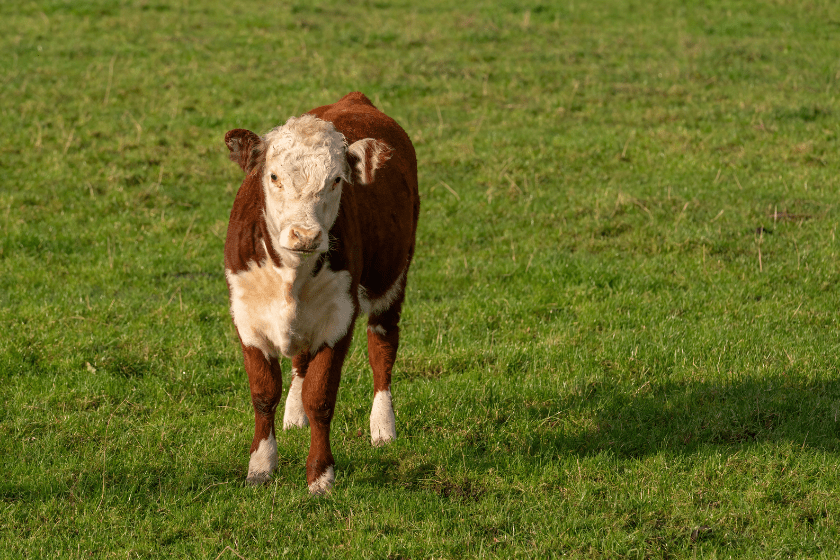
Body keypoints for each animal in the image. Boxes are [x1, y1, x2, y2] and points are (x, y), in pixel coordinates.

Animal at [223, 92, 420, 494]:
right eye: (273, 176)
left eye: (336, 179)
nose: (306, 235)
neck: (291, 277)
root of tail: (354, 98)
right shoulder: (247, 317)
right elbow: (264, 393)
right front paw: (260, 466)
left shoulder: (339, 317)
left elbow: (321, 396)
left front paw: (320, 475)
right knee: (301, 361)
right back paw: (294, 416)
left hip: (392, 278)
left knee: (382, 347)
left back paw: (383, 426)